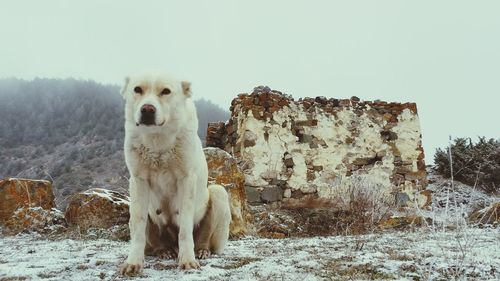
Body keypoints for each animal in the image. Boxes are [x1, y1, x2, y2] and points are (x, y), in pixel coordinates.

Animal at [120, 71, 231, 274]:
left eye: (166, 91)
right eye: (137, 89)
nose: (147, 109)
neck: (157, 139)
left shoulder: (186, 180)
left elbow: (185, 228)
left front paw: (187, 260)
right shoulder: (138, 180)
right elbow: (138, 226)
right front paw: (133, 262)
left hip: (218, 193)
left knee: (203, 237)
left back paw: (201, 250)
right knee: (155, 241)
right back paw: (164, 250)